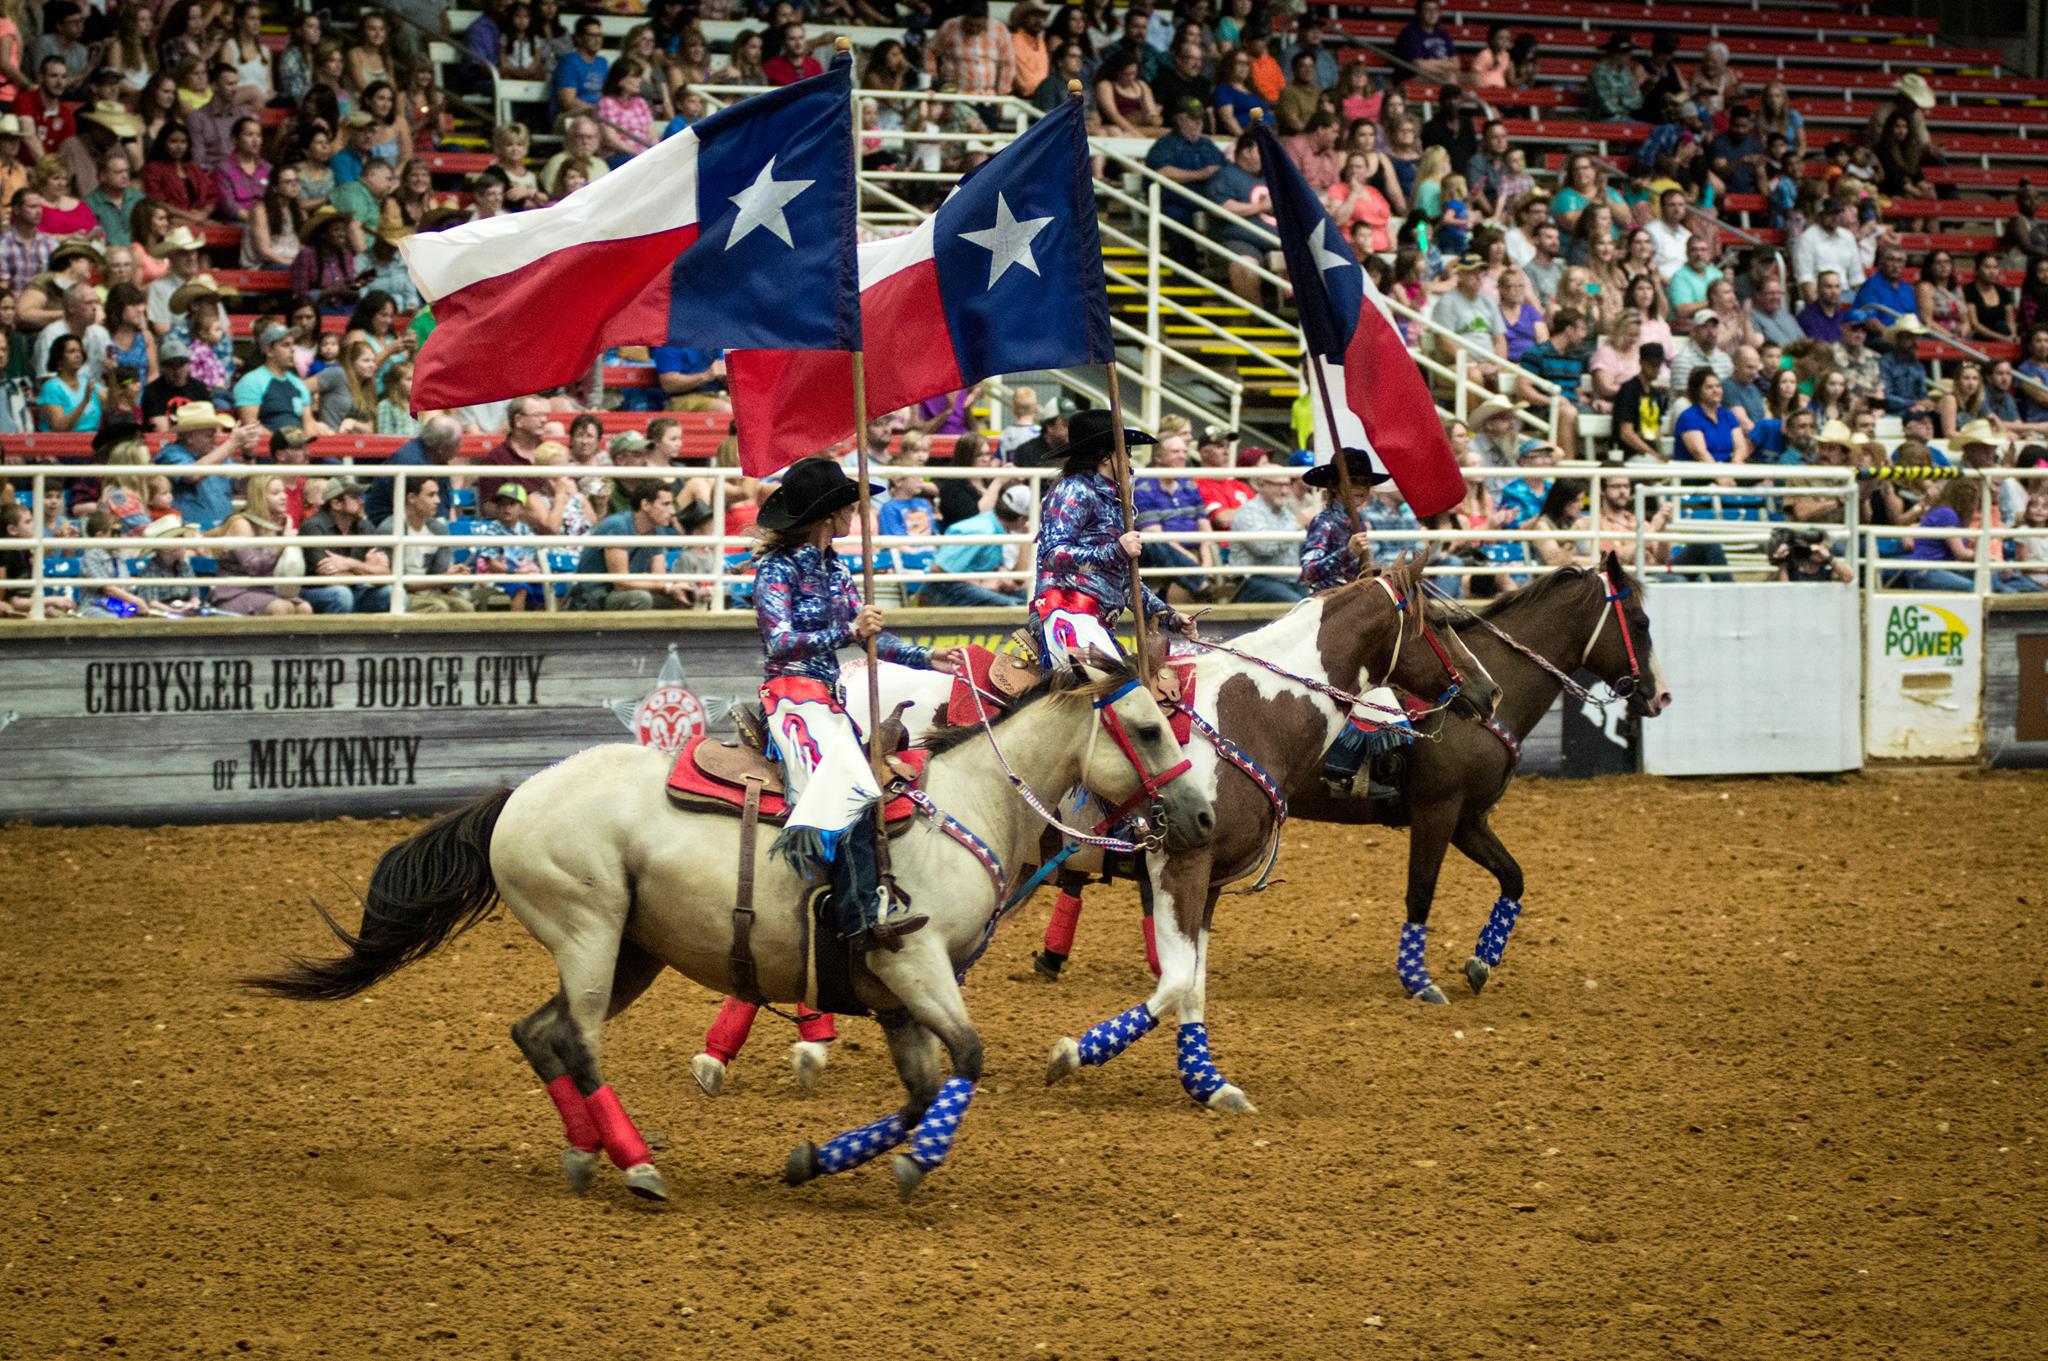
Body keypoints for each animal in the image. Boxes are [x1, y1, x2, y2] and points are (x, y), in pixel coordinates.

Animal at [241, 654, 1204, 1203]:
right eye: (1148, 726)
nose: (1198, 814)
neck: (962, 806)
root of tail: (516, 794)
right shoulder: (914, 958)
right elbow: (964, 1060)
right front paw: (912, 1165)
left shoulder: (897, 993)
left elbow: (921, 1089)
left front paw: (815, 1159)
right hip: (591, 932)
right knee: (578, 1041)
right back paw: (636, 1164)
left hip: (630, 951)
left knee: (538, 1032)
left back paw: (586, 1154)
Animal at [1302, 548, 1671, 998]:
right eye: (1641, 622)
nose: (1661, 695)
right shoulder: (1436, 812)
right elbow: (1420, 892)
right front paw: (1418, 980)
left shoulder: (1468, 820)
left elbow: (1513, 877)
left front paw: (1482, 960)